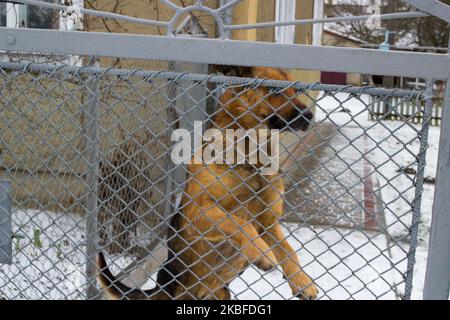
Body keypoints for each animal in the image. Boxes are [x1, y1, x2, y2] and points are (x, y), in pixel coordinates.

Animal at [97, 65, 318, 300]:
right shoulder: (199, 210)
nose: (309, 116)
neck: (251, 155)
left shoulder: (269, 223)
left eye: (297, 91)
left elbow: (289, 250)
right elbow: (239, 222)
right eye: (274, 89)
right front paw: (263, 253)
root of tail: (159, 289)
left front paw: (302, 280)